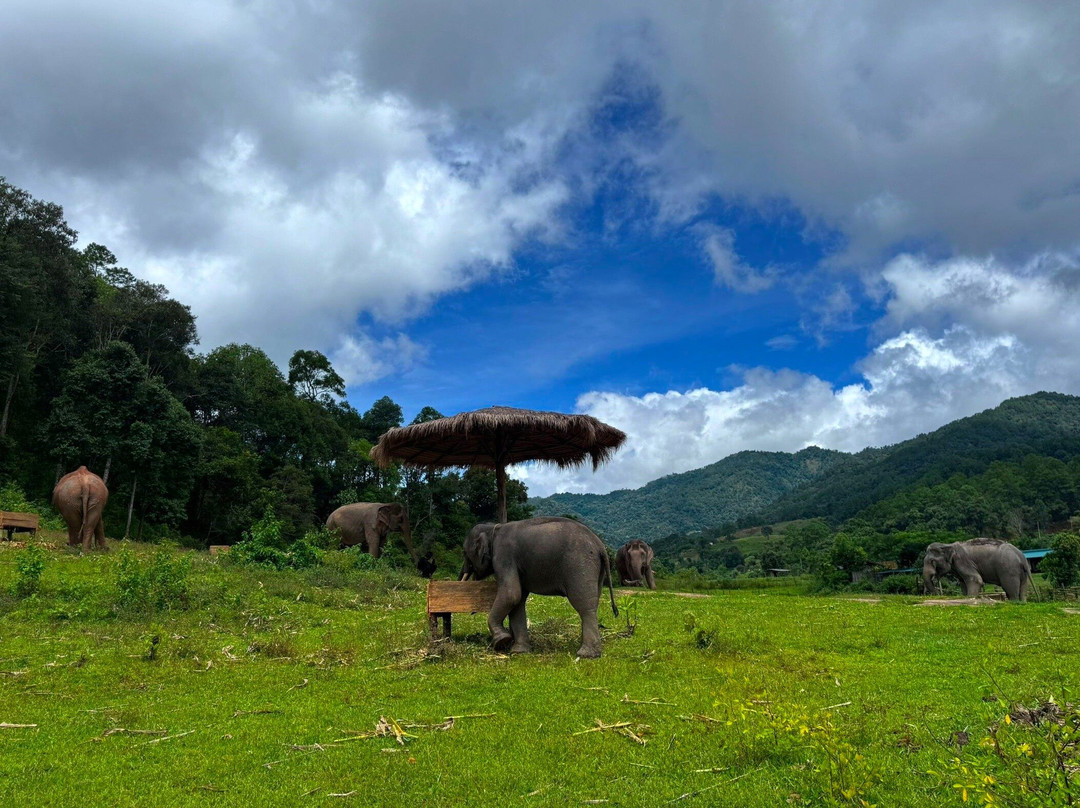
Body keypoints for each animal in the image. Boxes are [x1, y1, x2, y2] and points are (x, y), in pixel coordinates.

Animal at [459, 516, 618, 658]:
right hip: (596, 568)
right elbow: (518, 601)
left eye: (465, 553)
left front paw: (501, 641)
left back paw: (586, 654)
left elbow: (511, 594)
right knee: (593, 601)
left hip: (580, 564)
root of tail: (600, 546)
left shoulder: (503, 556)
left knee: (584, 605)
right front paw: (519, 651)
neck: (493, 527)